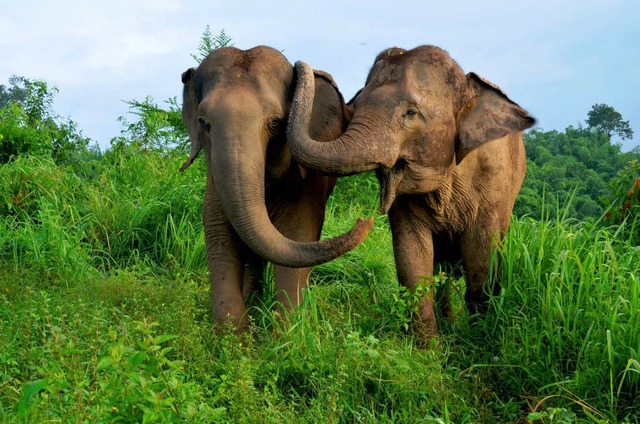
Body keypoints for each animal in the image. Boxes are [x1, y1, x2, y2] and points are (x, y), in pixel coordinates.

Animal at [179, 46, 370, 332]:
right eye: (203, 123)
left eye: (276, 123)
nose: (364, 220)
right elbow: (218, 230)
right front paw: (234, 335)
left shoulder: (304, 183)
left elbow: (297, 232)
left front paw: (286, 333)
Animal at [288, 45, 536, 342]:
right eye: (354, 107)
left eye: (410, 113)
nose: (306, 67)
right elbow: (412, 256)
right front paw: (428, 348)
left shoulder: (494, 184)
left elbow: (482, 260)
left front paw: (479, 340)